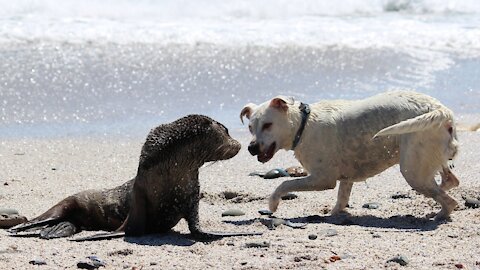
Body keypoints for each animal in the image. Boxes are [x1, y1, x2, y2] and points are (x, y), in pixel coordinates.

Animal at [242, 89, 460, 220]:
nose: (251, 148)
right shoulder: (345, 178)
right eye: (251, 127)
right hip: (428, 160)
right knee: (450, 181)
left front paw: (273, 204)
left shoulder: (322, 179)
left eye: (268, 125)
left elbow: (285, 183)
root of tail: (442, 110)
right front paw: (335, 214)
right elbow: (341, 198)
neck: (303, 125)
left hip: (412, 171)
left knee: (450, 201)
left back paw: (439, 215)